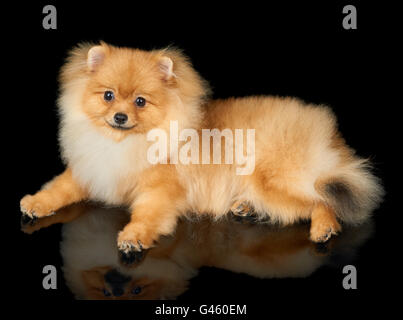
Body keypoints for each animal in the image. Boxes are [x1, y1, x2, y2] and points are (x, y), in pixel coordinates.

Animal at [20, 41, 384, 264]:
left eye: (140, 101)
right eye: (108, 96)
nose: (120, 117)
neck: (124, 143)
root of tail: (330, 137)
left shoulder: (162, 190)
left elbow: (147, 214)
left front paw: (133, 236)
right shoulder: (90, 170)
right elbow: (59, 188)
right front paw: (35, 203)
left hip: (275, 181)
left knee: (323, 199)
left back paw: (323, 228)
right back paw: (244, 207)